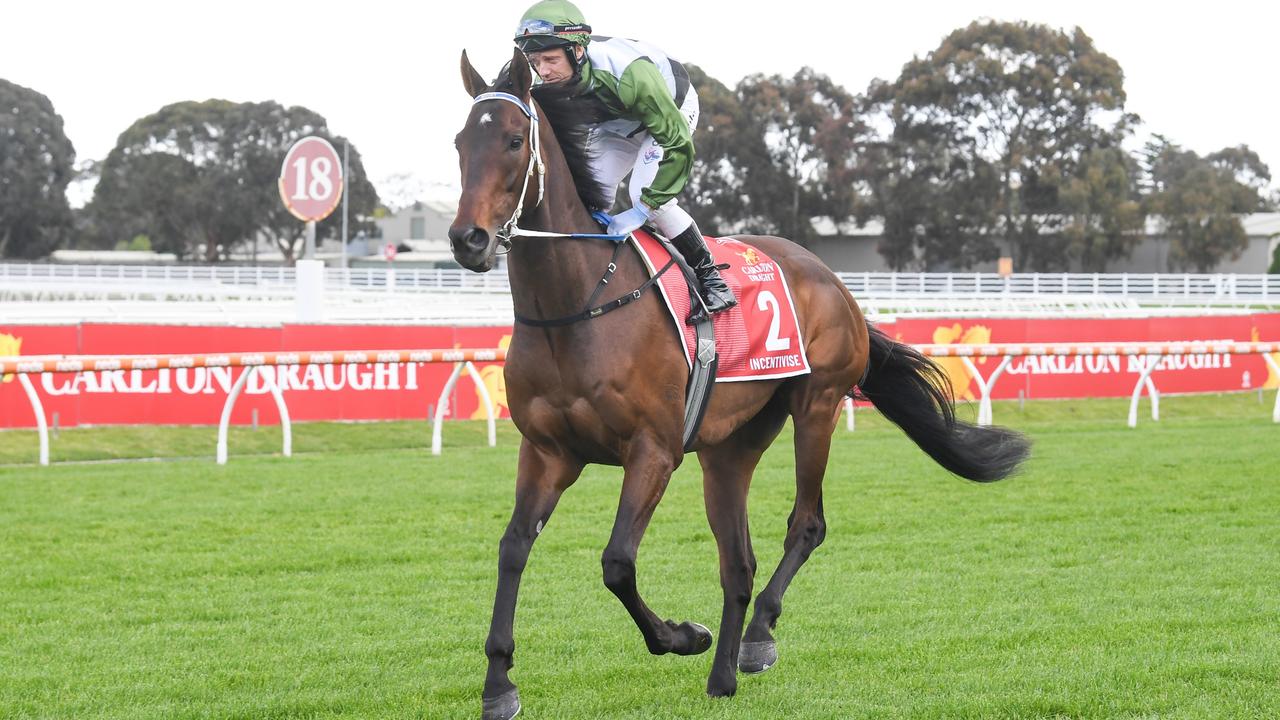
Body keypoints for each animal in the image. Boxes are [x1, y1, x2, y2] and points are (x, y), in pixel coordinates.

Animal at [450, 50, 1029, 717]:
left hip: (817, 405)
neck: (578, 306)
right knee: (738, 562)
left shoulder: (653, 451)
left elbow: (617, 563)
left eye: (514, 142)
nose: (467, 239)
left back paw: (755, 641)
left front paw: (682, 636)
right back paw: (724, 674)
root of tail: (832, 278)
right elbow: (512, 547)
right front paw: (499, 683)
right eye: (460, 142)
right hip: (729, 449)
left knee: (806, 524)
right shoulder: (548, 452)